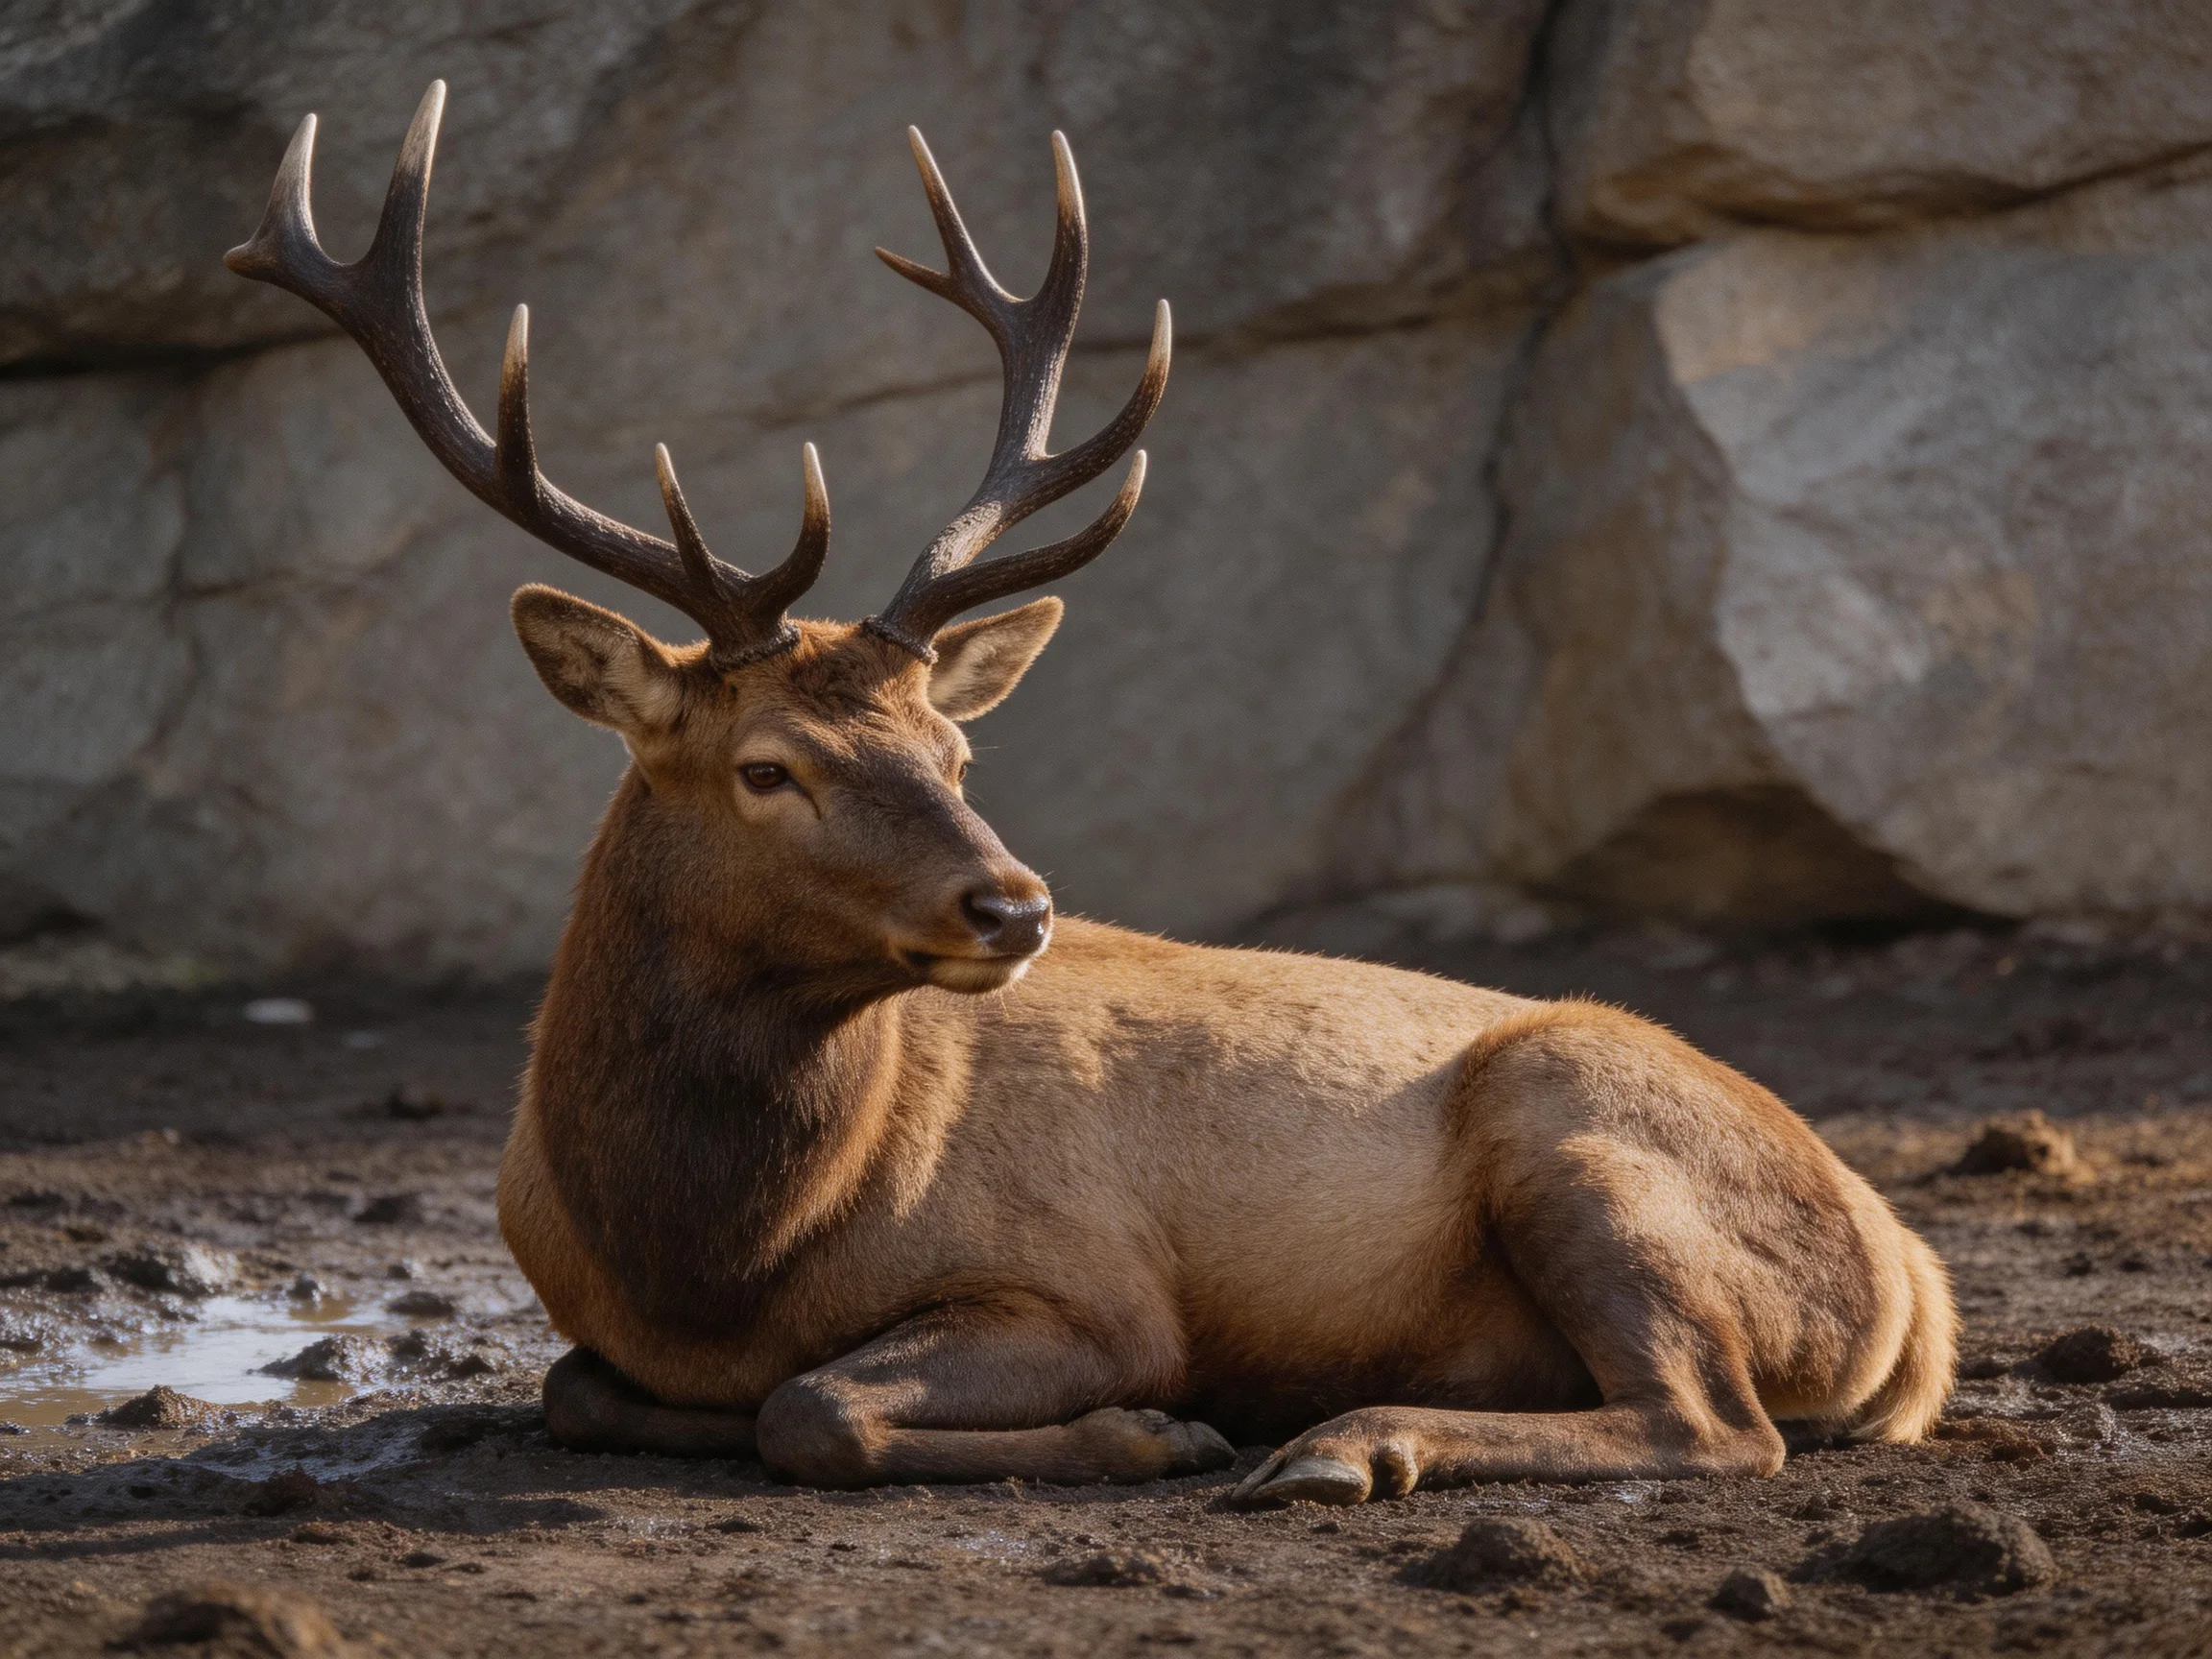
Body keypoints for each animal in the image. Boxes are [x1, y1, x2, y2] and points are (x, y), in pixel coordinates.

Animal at [226, 81, 1956, 1506]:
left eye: (954, 751)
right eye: (767, 766)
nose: (1015, 905)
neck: (710, 1256)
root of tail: (1911, 1282)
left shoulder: (1091, 1285)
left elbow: (814, 1409)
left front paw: (1152, 1432)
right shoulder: (598, 1324)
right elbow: (580, 1387)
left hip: (1582, 1138)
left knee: (1710, 1419)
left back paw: (1345, 1442)